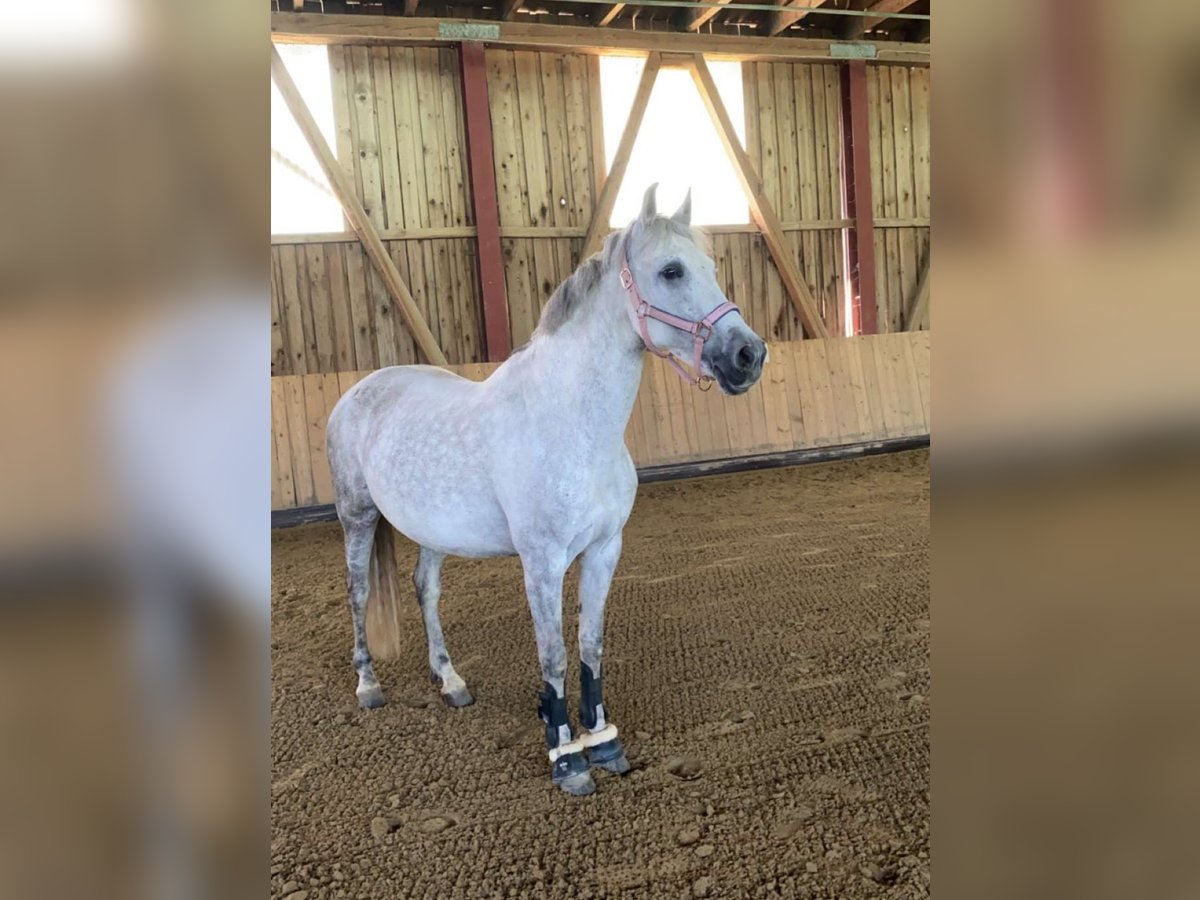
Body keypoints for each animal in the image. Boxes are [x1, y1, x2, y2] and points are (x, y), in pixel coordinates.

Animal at [324, 184, 763, 796]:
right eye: (672, 270)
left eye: (712, 268)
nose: (750, 355)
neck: (573, 424)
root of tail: (357, 392)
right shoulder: (542, 562)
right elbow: (553, 656)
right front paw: (567, 758)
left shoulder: (604, 550)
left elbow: (590, 646)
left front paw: (603, 742)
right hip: (357, 517)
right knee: (359, 593)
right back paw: (368, 686)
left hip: (431, 533)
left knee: (425, 592)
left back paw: (451, 681)